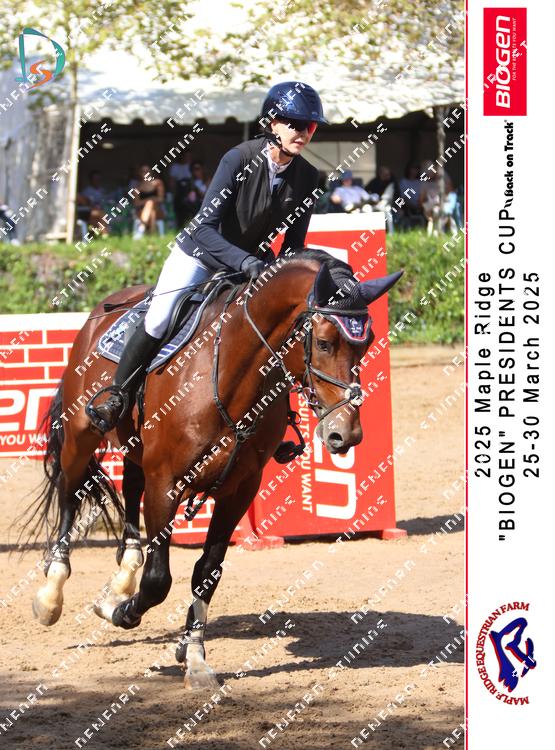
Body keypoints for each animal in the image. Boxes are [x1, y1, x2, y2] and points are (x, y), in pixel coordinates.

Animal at [27, 248, 402, 689]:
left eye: (367, 343)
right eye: (324, 342)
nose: (347, 434)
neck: (230, 375)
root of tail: (104, 308)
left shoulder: (239, 489)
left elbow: (207, 571)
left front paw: (193, 655)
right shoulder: (166, 483)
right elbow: (159, 580)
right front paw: (122, 613)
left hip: (136, 449)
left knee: (129, 491)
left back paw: (121, 579)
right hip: (82, 435)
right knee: (70, 493)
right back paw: (51, 594)